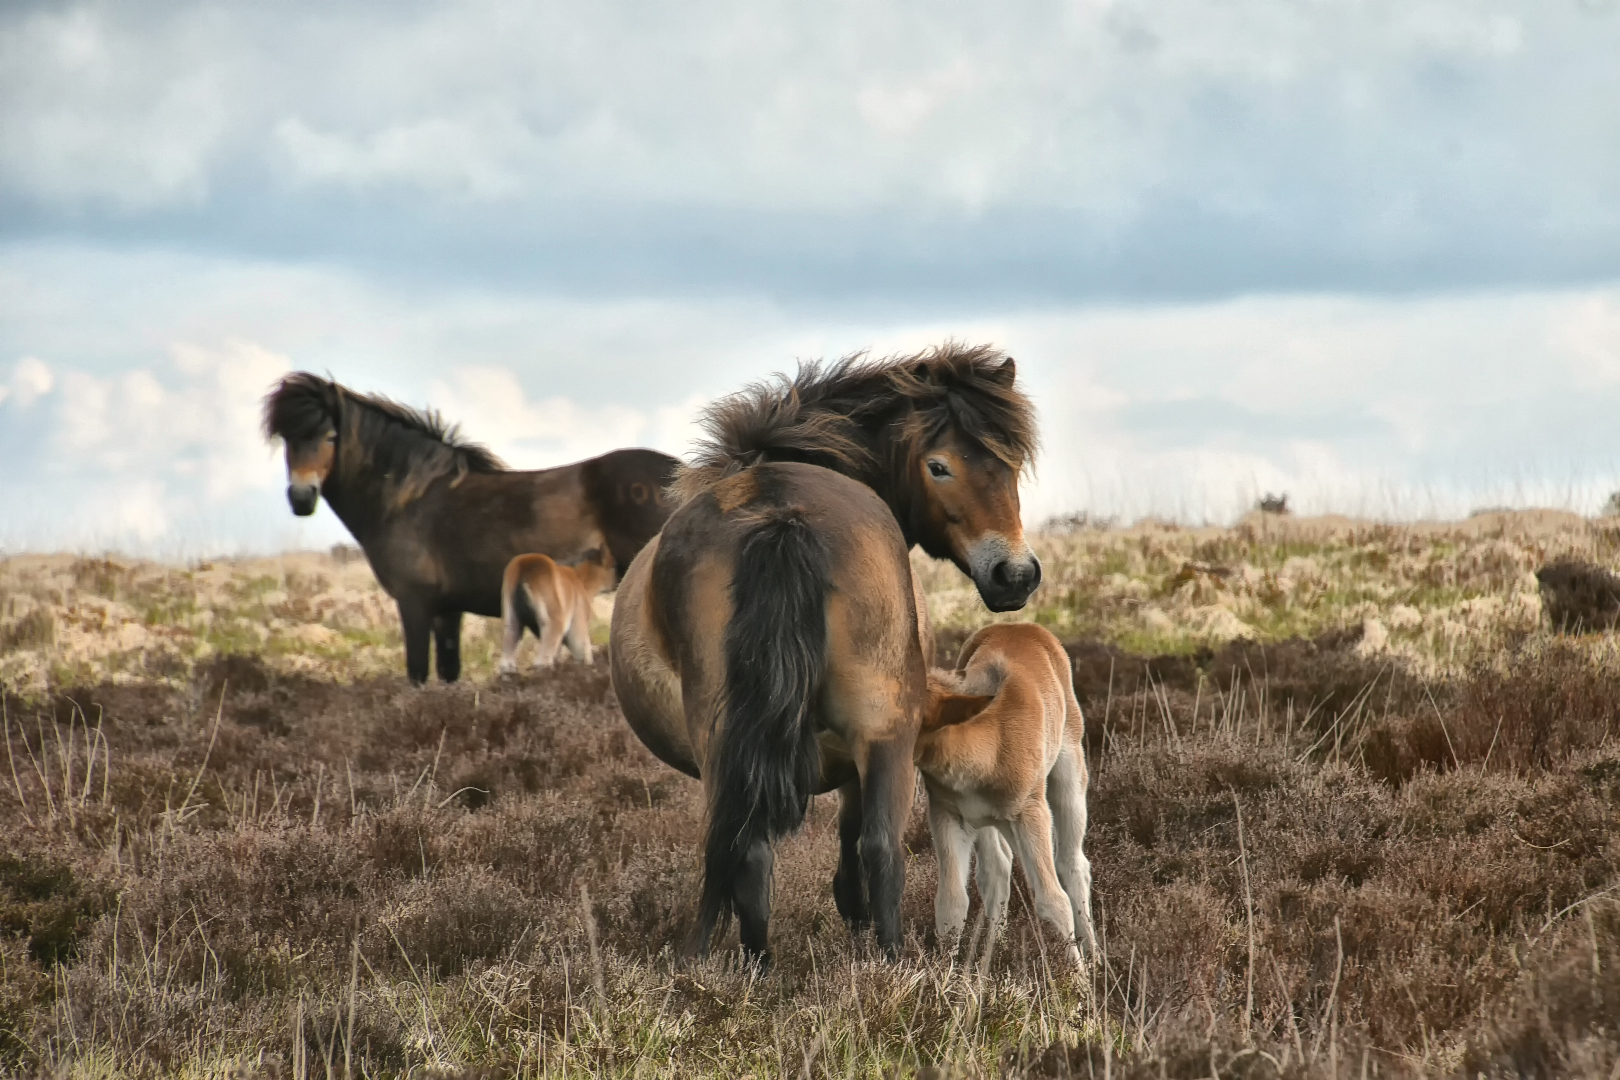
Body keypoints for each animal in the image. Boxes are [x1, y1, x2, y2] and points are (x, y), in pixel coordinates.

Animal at [264, 374, 677, 683]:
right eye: (288, 440)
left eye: (330, 437)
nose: (301, 497)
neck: (409, 497)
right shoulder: (447, 611)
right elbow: (449, 672)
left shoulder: (414, 603)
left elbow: (417, 672)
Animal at [609, 344, 1036, 965]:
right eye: (939, 467)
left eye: (1010, 464)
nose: (1016, 575)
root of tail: (782, 514)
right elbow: (853, 835)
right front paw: (852, 911)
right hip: (883, 734)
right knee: (874, 846)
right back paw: (879, 961)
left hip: (734, 743)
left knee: (745, 846)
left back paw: (746, 962)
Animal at [926, 625, 1101, 971]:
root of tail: (1021, 626)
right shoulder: (948, 816)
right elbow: (951, 903)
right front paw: (943, 982)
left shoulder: (1031, 814)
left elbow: (1052, 900)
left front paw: (1078, 984)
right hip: (989, 823)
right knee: (997, 868)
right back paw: (993, 953)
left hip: (1068, 775)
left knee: (1073, 864)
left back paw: (1094, 957)